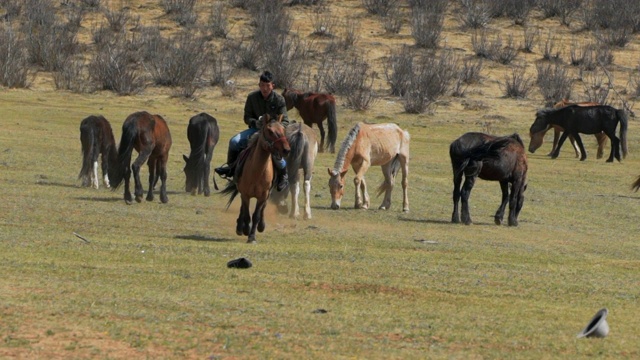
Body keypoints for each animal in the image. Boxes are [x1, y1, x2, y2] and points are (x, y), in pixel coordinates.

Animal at [220, 114, 290, 245]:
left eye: (283, 130)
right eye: (270, 131)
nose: (286, 150)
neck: (257, 171)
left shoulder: (263, 195)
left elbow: (256, 215)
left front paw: (252, 236)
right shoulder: (245, 194)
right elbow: (247, 213)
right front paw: (245, 229)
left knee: (263, 209)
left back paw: (261, 226)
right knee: (243, 208)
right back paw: (240, 227)